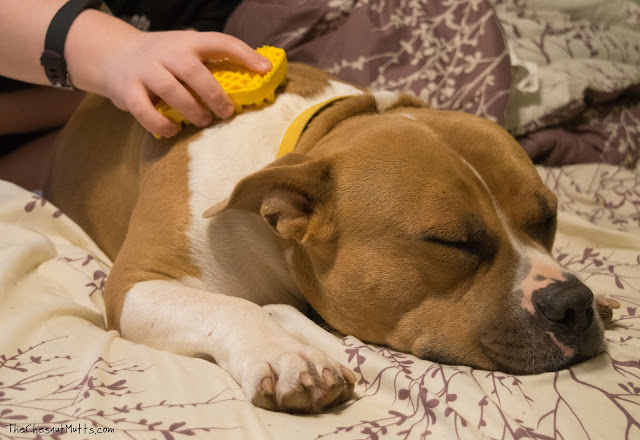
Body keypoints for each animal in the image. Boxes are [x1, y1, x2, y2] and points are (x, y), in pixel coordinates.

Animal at [43, 63, 616, 414]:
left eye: (548, 218)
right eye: (451, 244)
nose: (572, 302)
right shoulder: (134, 282)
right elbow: (234, 306)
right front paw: (288, 355)